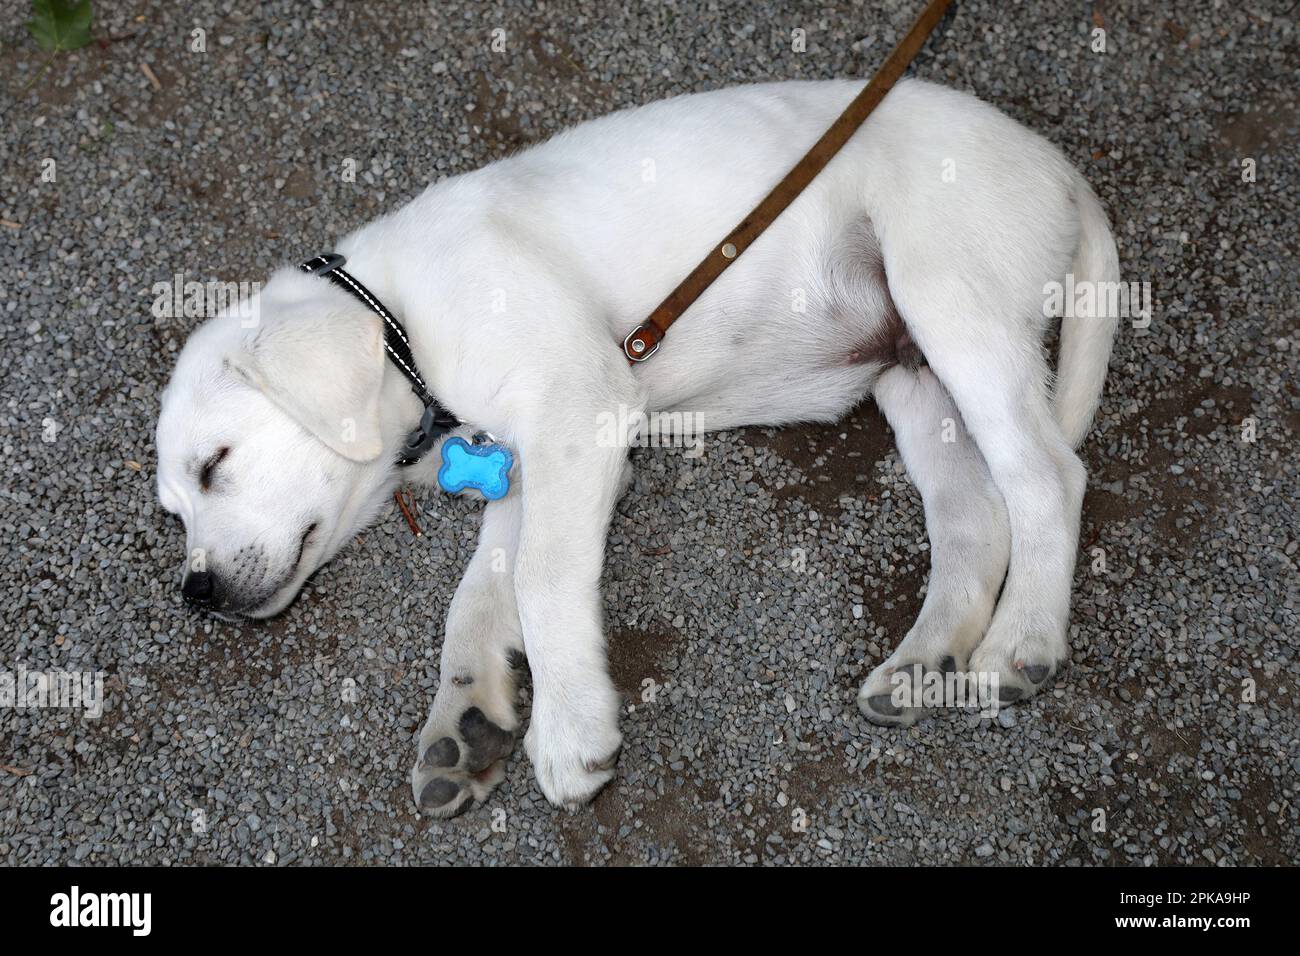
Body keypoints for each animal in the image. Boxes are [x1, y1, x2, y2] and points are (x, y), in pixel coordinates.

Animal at [157, 78, 1118, 816]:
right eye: (174, 510)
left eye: (216, 464)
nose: (196, 596)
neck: (404, 324)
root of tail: (1061, 167)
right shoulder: (525, 459)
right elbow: (480, 596)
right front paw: (465, 717)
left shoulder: (577, 409)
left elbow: (541, 581)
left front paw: (571, 731)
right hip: (917, 380)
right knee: (975, 518)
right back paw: (925, 661)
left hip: (952, 302)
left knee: (1047, 477)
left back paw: (1021, 642)